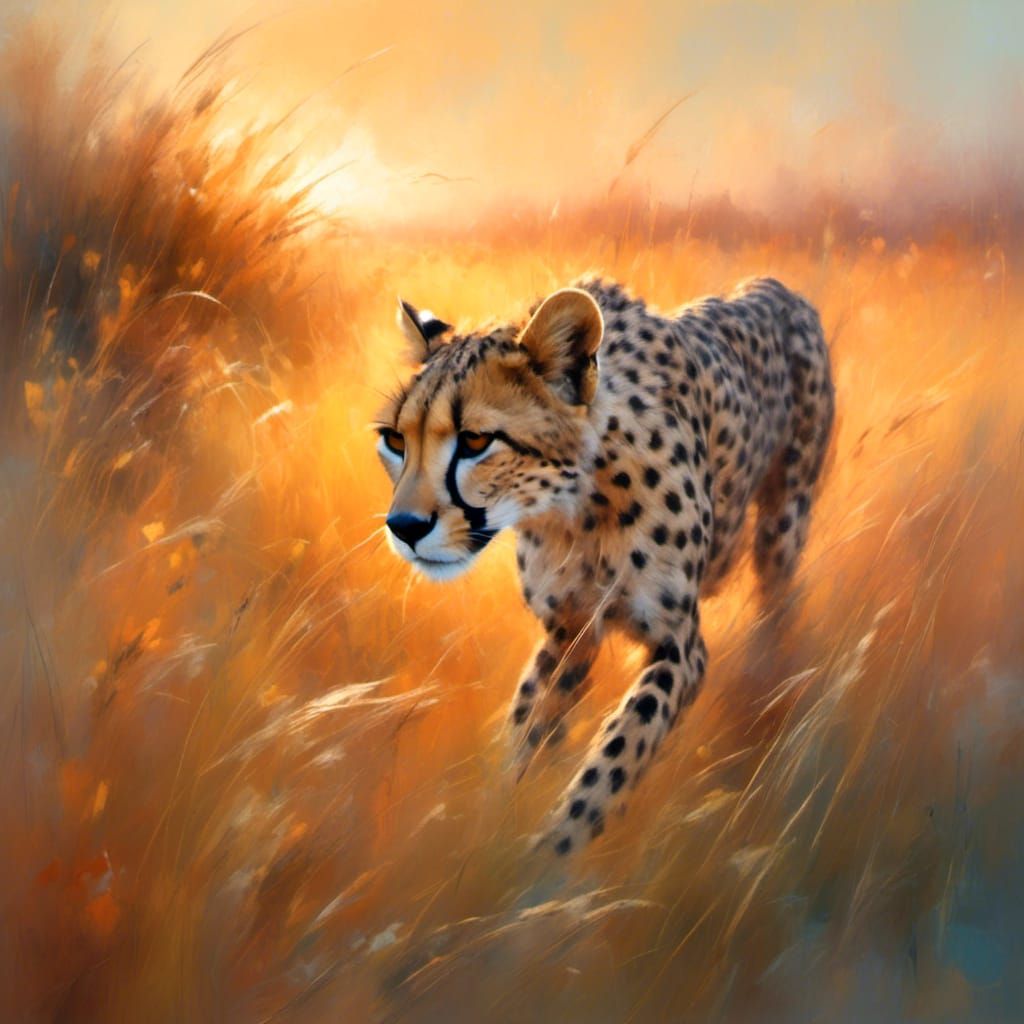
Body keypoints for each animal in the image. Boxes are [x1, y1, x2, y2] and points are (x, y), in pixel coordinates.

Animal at [374, 275, 834, 856]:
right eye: (395, 439)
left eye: (476, 440)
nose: (404, 526)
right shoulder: (570, 631)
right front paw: (495, 822)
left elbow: (615, 756)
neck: (575, 505)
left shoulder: (680, 645)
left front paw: (551, 854)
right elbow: (528, 725)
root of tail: (773, 285)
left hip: (782, 528)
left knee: (778, 611)